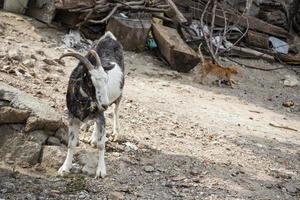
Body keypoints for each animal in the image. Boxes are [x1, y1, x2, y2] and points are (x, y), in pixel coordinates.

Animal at [58, 31, 124, 178]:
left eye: (106, 80)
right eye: (89, 81)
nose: (104, 104)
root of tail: (109, 36)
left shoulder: (100, 114)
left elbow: (101, 144)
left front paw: (101, 170)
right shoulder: (72, 117)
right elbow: (71, 143)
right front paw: (65, 167)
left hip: (119, 94)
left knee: (116, 110)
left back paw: (116, 133)